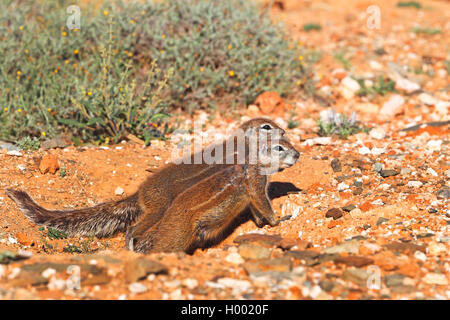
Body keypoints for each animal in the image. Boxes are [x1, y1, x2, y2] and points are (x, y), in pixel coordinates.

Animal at [128, 136, 300, 254]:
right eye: (279, 148)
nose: (298, 154)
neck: (255, 162)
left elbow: (256, 209)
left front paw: (261, 223)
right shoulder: (256, 184)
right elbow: (263, 203)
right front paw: (278, 220)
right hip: (178, 234)